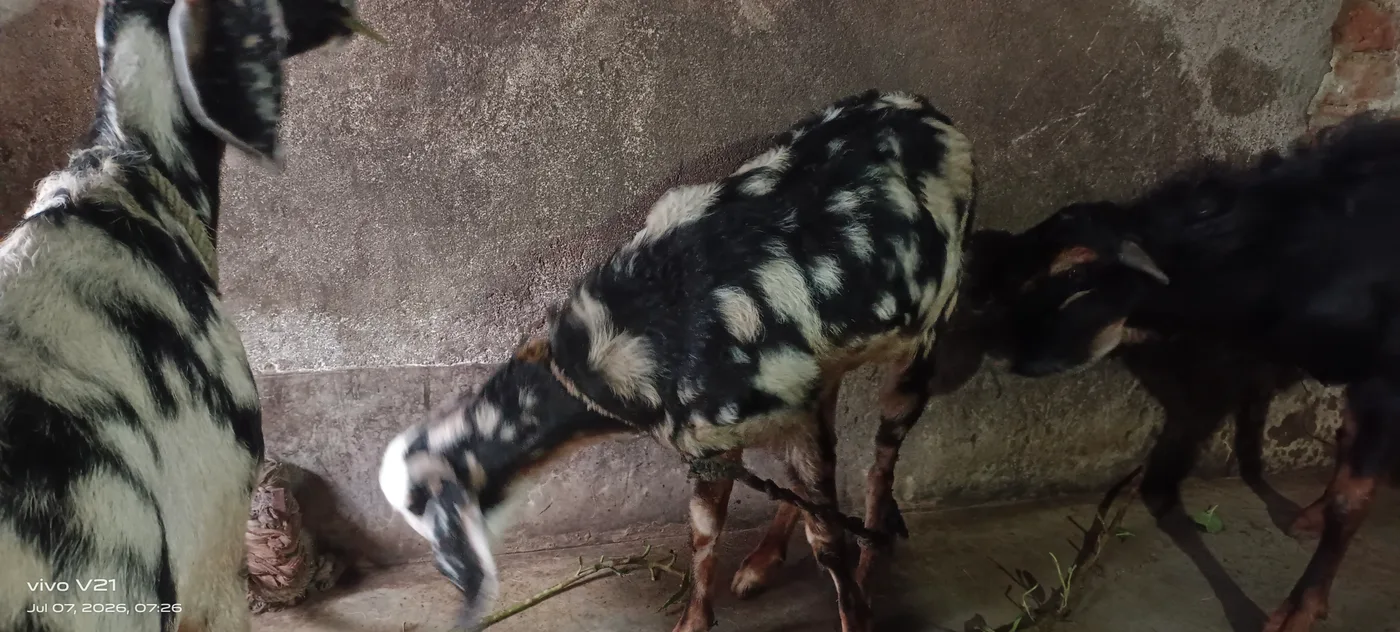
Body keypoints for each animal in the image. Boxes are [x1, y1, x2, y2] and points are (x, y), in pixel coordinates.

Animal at [379, 89, 976, 632]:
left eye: (421, 507)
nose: (456, 584)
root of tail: (931, 113)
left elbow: (825, 538)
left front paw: (855, 609)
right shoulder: (717, 439)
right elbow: (705, 529)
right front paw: (696, 618)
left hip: (928, 333)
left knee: (880, 462)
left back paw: (869, 565)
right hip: (822, 377)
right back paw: (762, 564)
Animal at [987, 113, 1400, 632]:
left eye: (1076, 275)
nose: (1010, 354)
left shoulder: (1383, 380)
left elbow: (1352, 497)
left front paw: (1299, 609)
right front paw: (1313, 517)